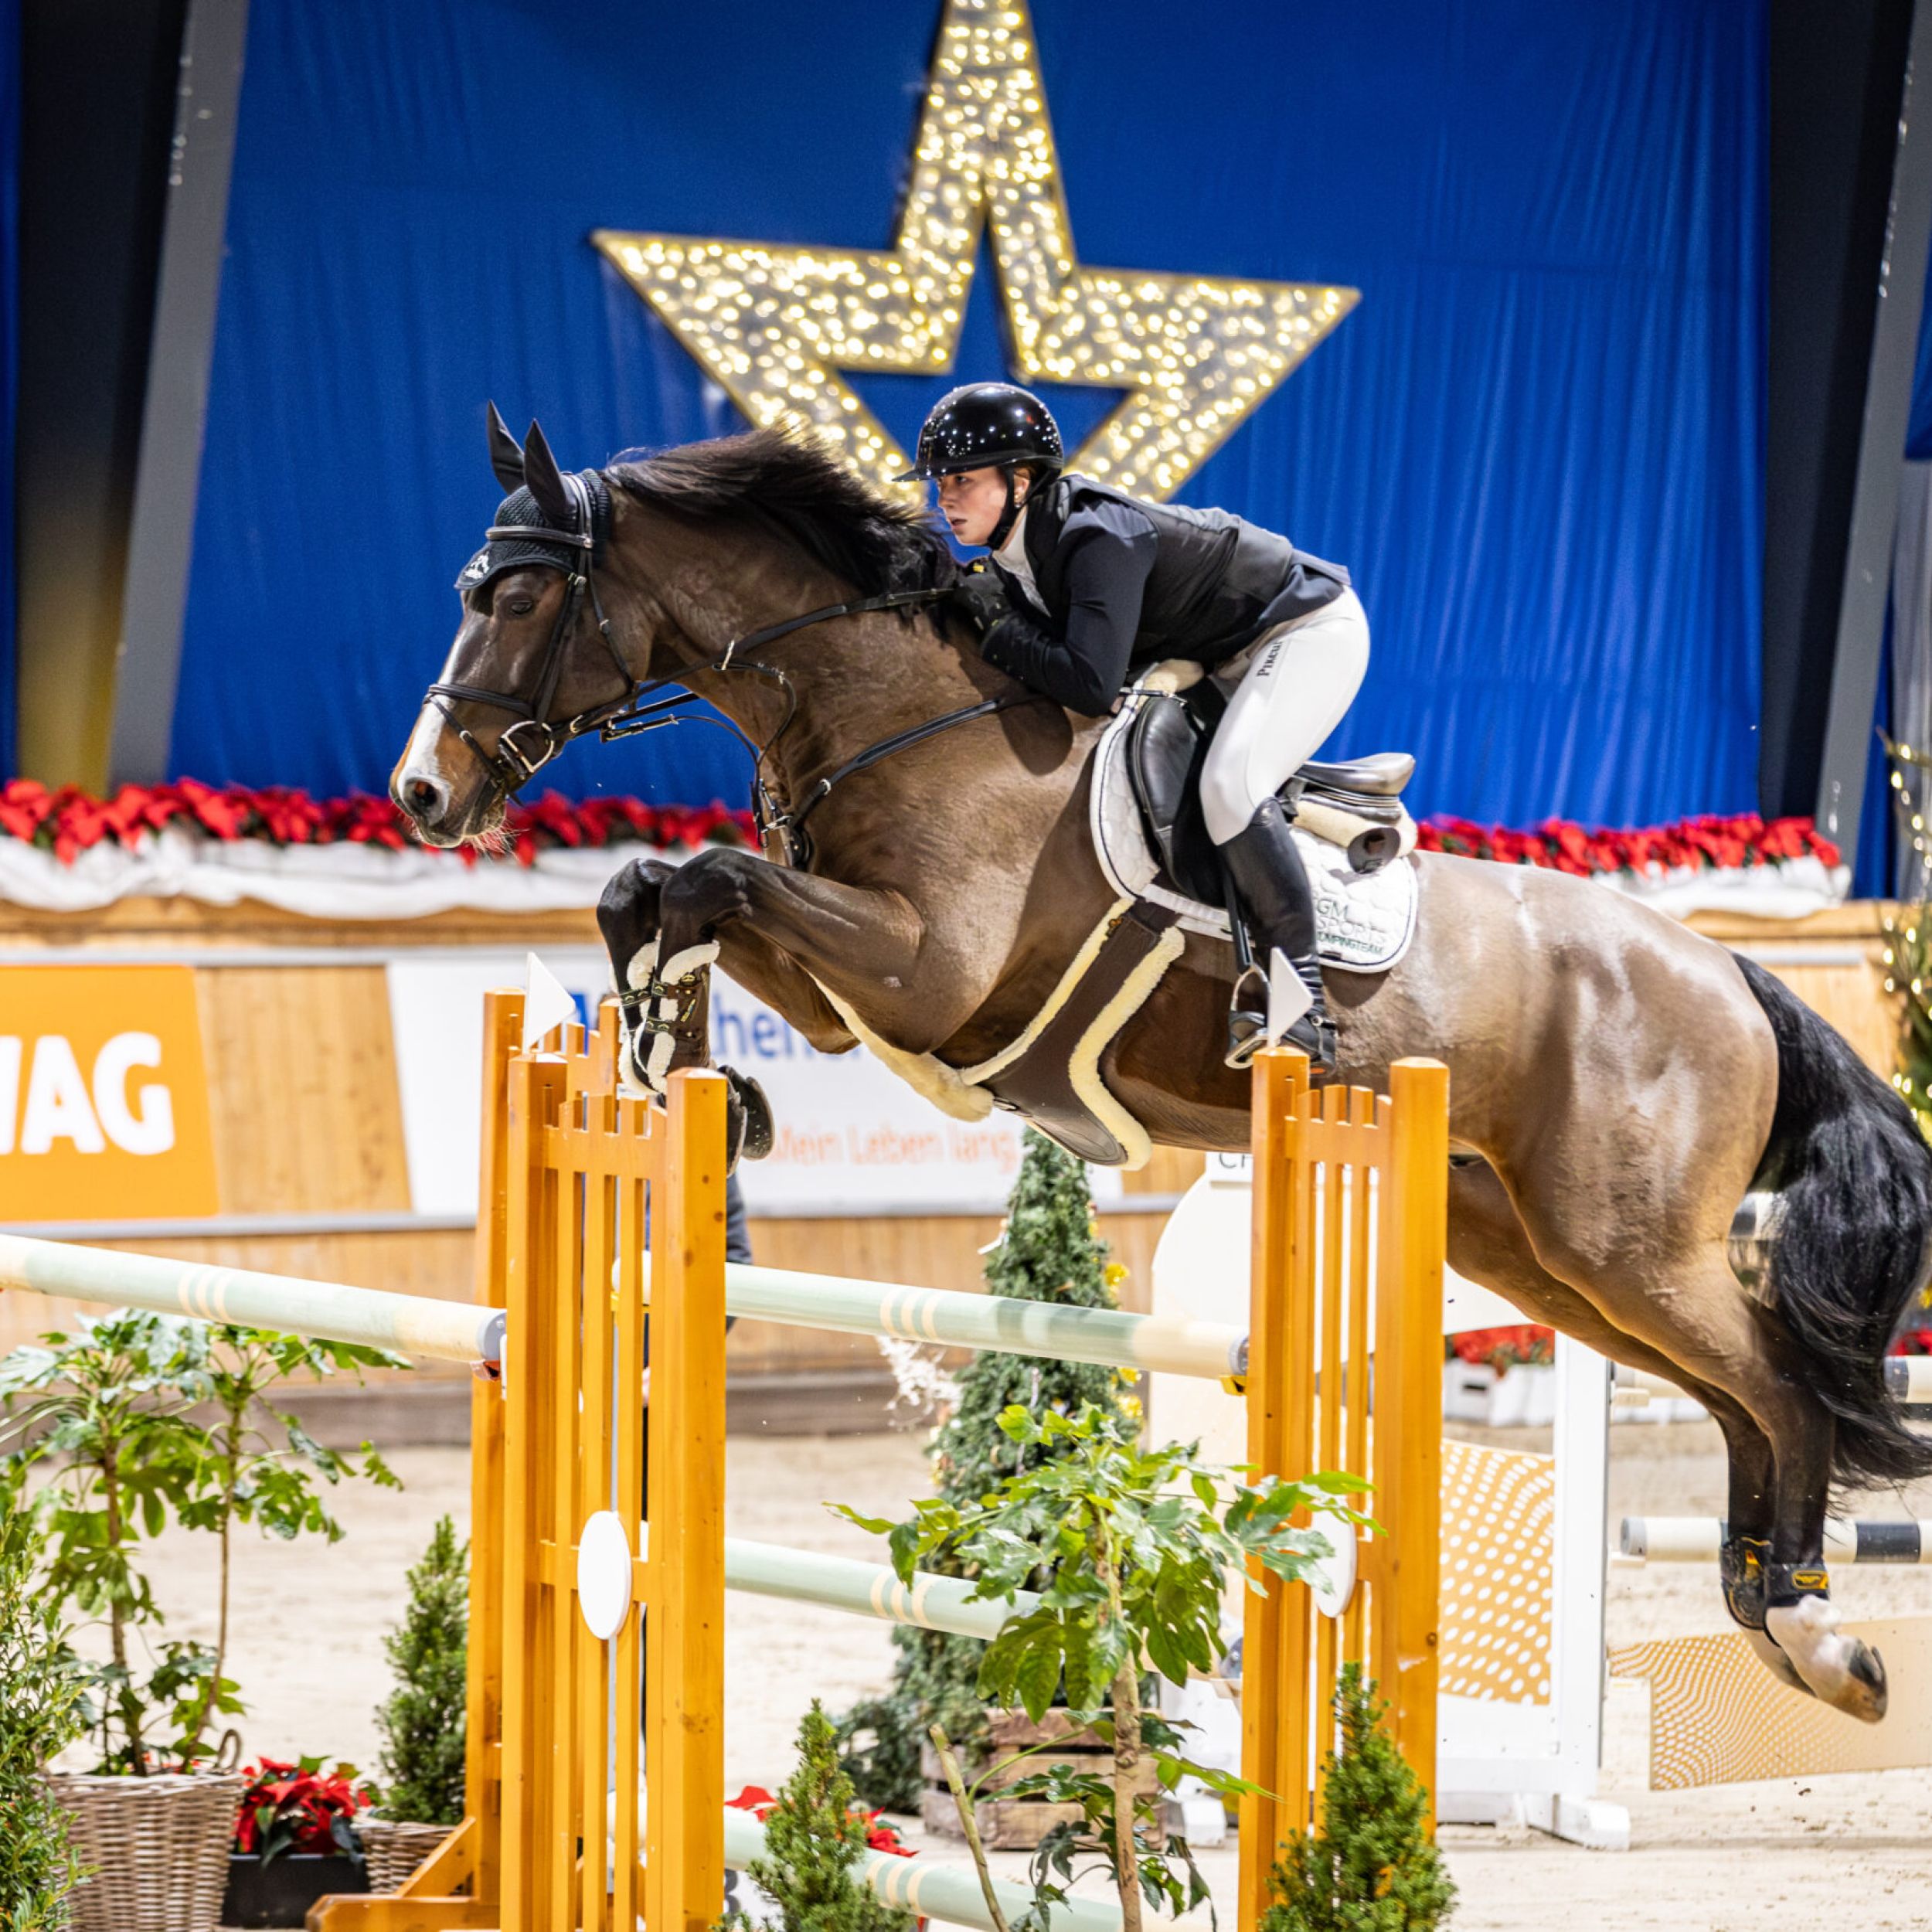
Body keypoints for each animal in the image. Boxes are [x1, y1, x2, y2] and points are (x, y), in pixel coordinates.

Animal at [393, 411, 1932, 1723]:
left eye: (513, 599)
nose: (421, 794)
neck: (899, 713)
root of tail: (1724, 970)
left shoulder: (919, 971)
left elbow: (707, 873)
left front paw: (687, 1069)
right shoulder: (851, 994)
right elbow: (659, 890)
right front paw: (687, 1076)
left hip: (1624, 1242)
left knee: (1782, 1383)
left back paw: (1817, 1631)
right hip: (1537, 1250)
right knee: (1742, 1394)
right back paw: (1778, 1613)